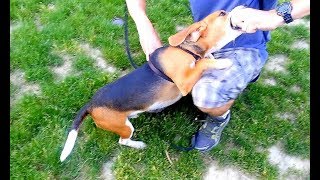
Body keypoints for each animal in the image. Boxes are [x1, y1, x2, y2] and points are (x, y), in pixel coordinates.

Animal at [60, 8, 244, 162]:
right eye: (222, 14)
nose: (239, 10)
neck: (186, 49)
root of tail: (91, 104)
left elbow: (205, 59)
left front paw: (212, 57)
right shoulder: (184, 82)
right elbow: (202, 63)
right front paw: (222, 62)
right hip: (124, 127)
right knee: (123, 141)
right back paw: (139, 145)